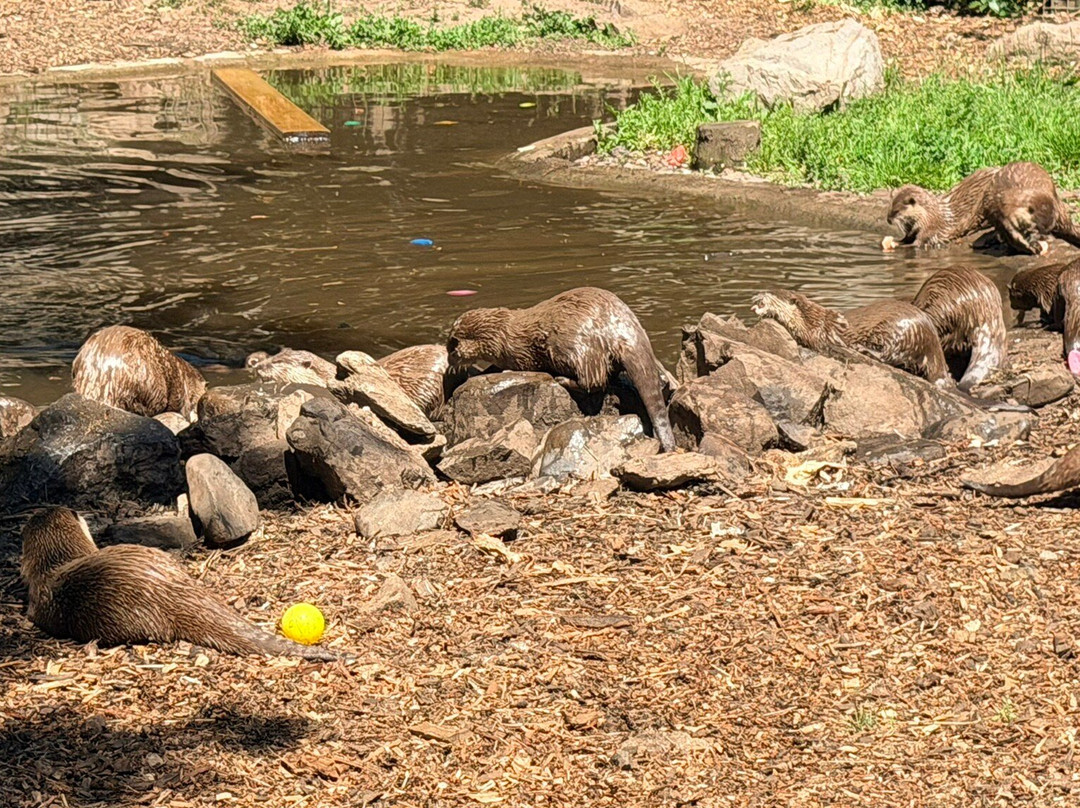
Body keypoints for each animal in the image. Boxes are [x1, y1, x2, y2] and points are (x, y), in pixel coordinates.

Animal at [446, 287, 676, 451]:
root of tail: (622, 330)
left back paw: (562, 379)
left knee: (594, 381)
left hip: (574, 348)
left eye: (451, 349)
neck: (501, 334)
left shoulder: (517, 354)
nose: (448, 363)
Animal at [750, 290, 951, 386]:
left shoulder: (819, 336)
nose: (757, 293)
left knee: (890, 356)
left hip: (898, 331)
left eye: (772, 292)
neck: (811, 322)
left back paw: (863, 349)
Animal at [884, 162, 1080, 255]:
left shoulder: (932, 228)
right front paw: (897, 241)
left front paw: (902, 247)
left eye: (896, 211)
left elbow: (918, 243)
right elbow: (909, 236)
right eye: (890, 208)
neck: (932, 214)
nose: (888, 219)